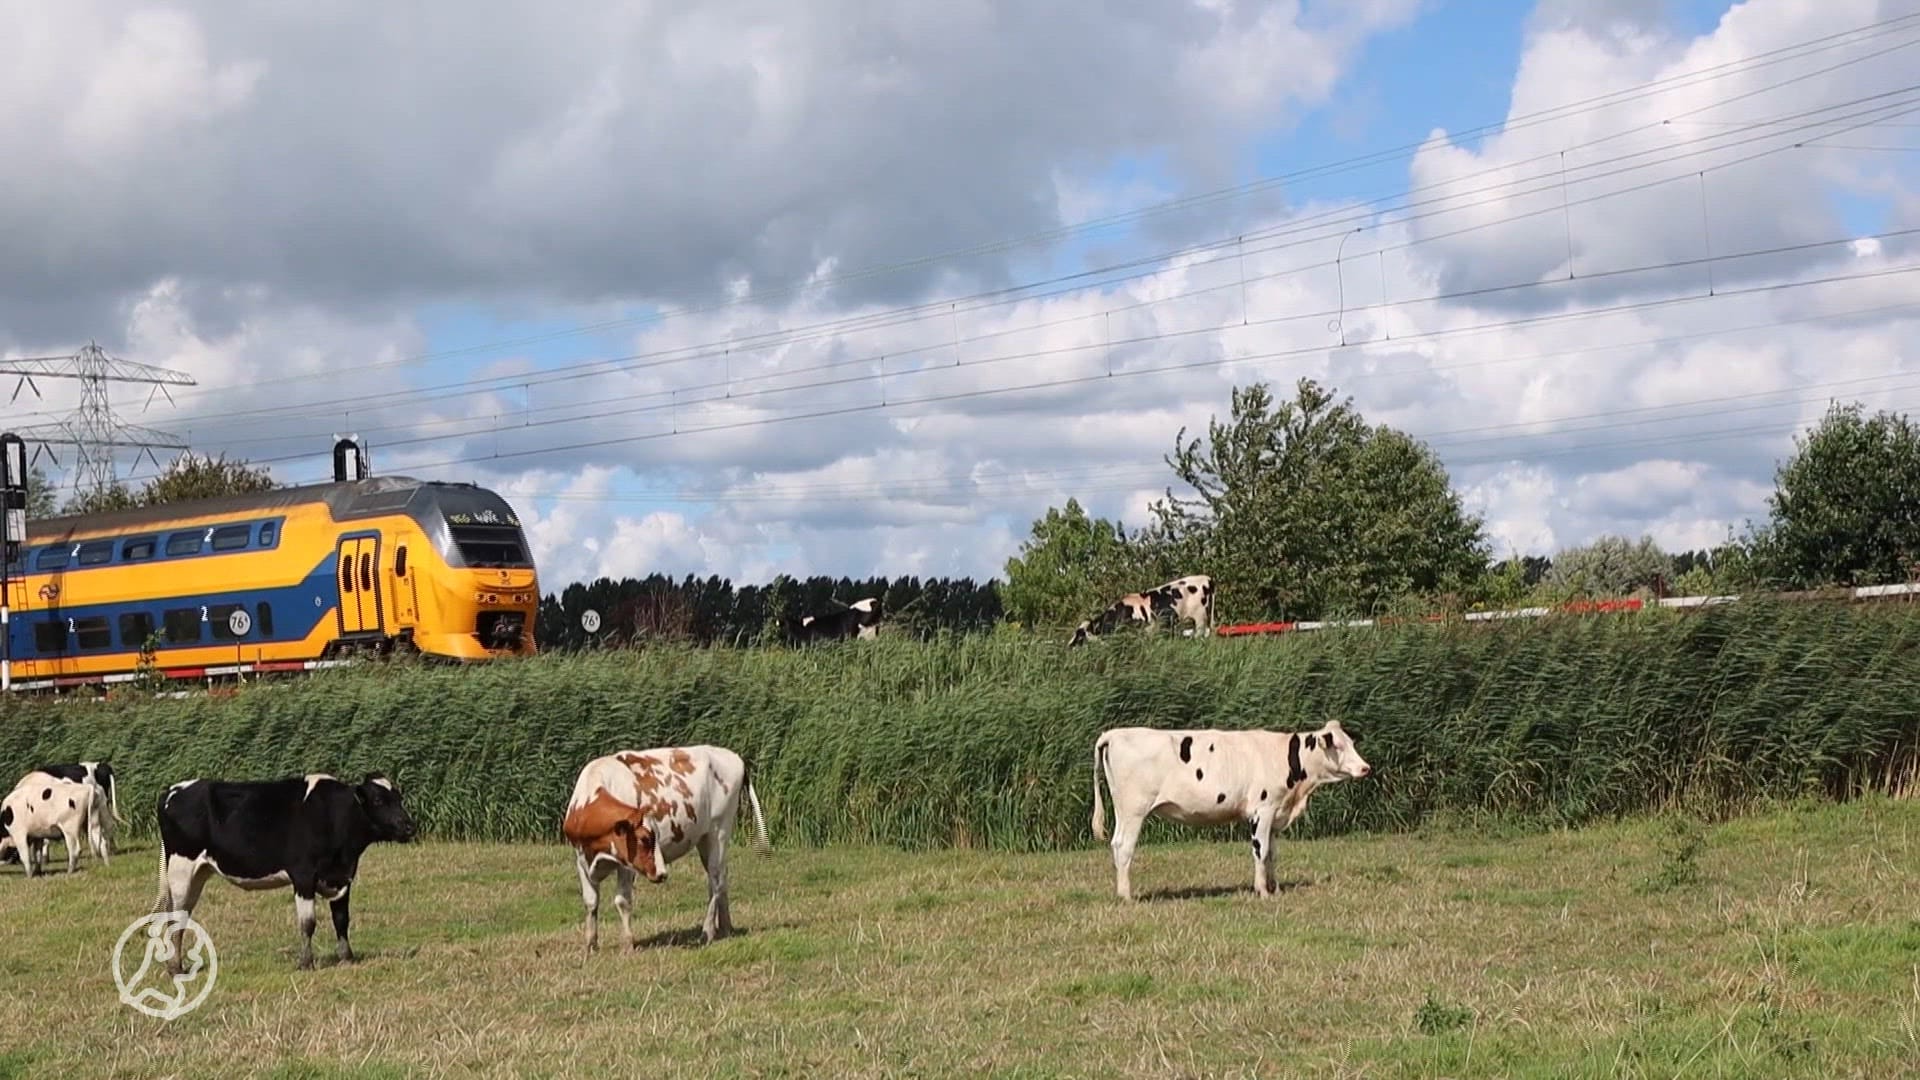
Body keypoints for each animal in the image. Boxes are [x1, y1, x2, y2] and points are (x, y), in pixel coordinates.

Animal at [149, 772, 419, 971]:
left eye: (399, 798)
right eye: (379, 801)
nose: (409, 826)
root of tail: (173, 789)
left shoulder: (343, 877)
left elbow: (342, 919)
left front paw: (347, 958)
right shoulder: (303, 875)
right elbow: (308, 923)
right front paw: (306, 963)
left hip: (198, 873)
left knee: (183, 915)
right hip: (181, 868)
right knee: (175, 916)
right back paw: (175, 968)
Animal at [561, 745, 771, 952]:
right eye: (644, 839)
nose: (662, 874)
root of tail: (733, 755)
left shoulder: (627, 865)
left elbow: (622, 901)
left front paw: (627, 945)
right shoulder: (581, 860)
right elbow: (590, 902)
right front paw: (590, 945)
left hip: (719, 831)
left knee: (716, 879)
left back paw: (707, 931)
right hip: (704, 839)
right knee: (720, 880)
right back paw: (726, 927)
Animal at [1090, 720, 1372, 900]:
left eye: (1351, 742)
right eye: (1338, 746)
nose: (1365, 768)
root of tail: (1114, 734)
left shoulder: (1276, 814)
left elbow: (1273, 854)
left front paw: (1276, 889)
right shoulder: (1262, 810)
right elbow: (1261, 851)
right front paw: (1262, 891)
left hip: (1124, 811)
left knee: (1116, 844)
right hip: (1133, 810)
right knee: (1124, 846)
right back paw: (1126, 896)